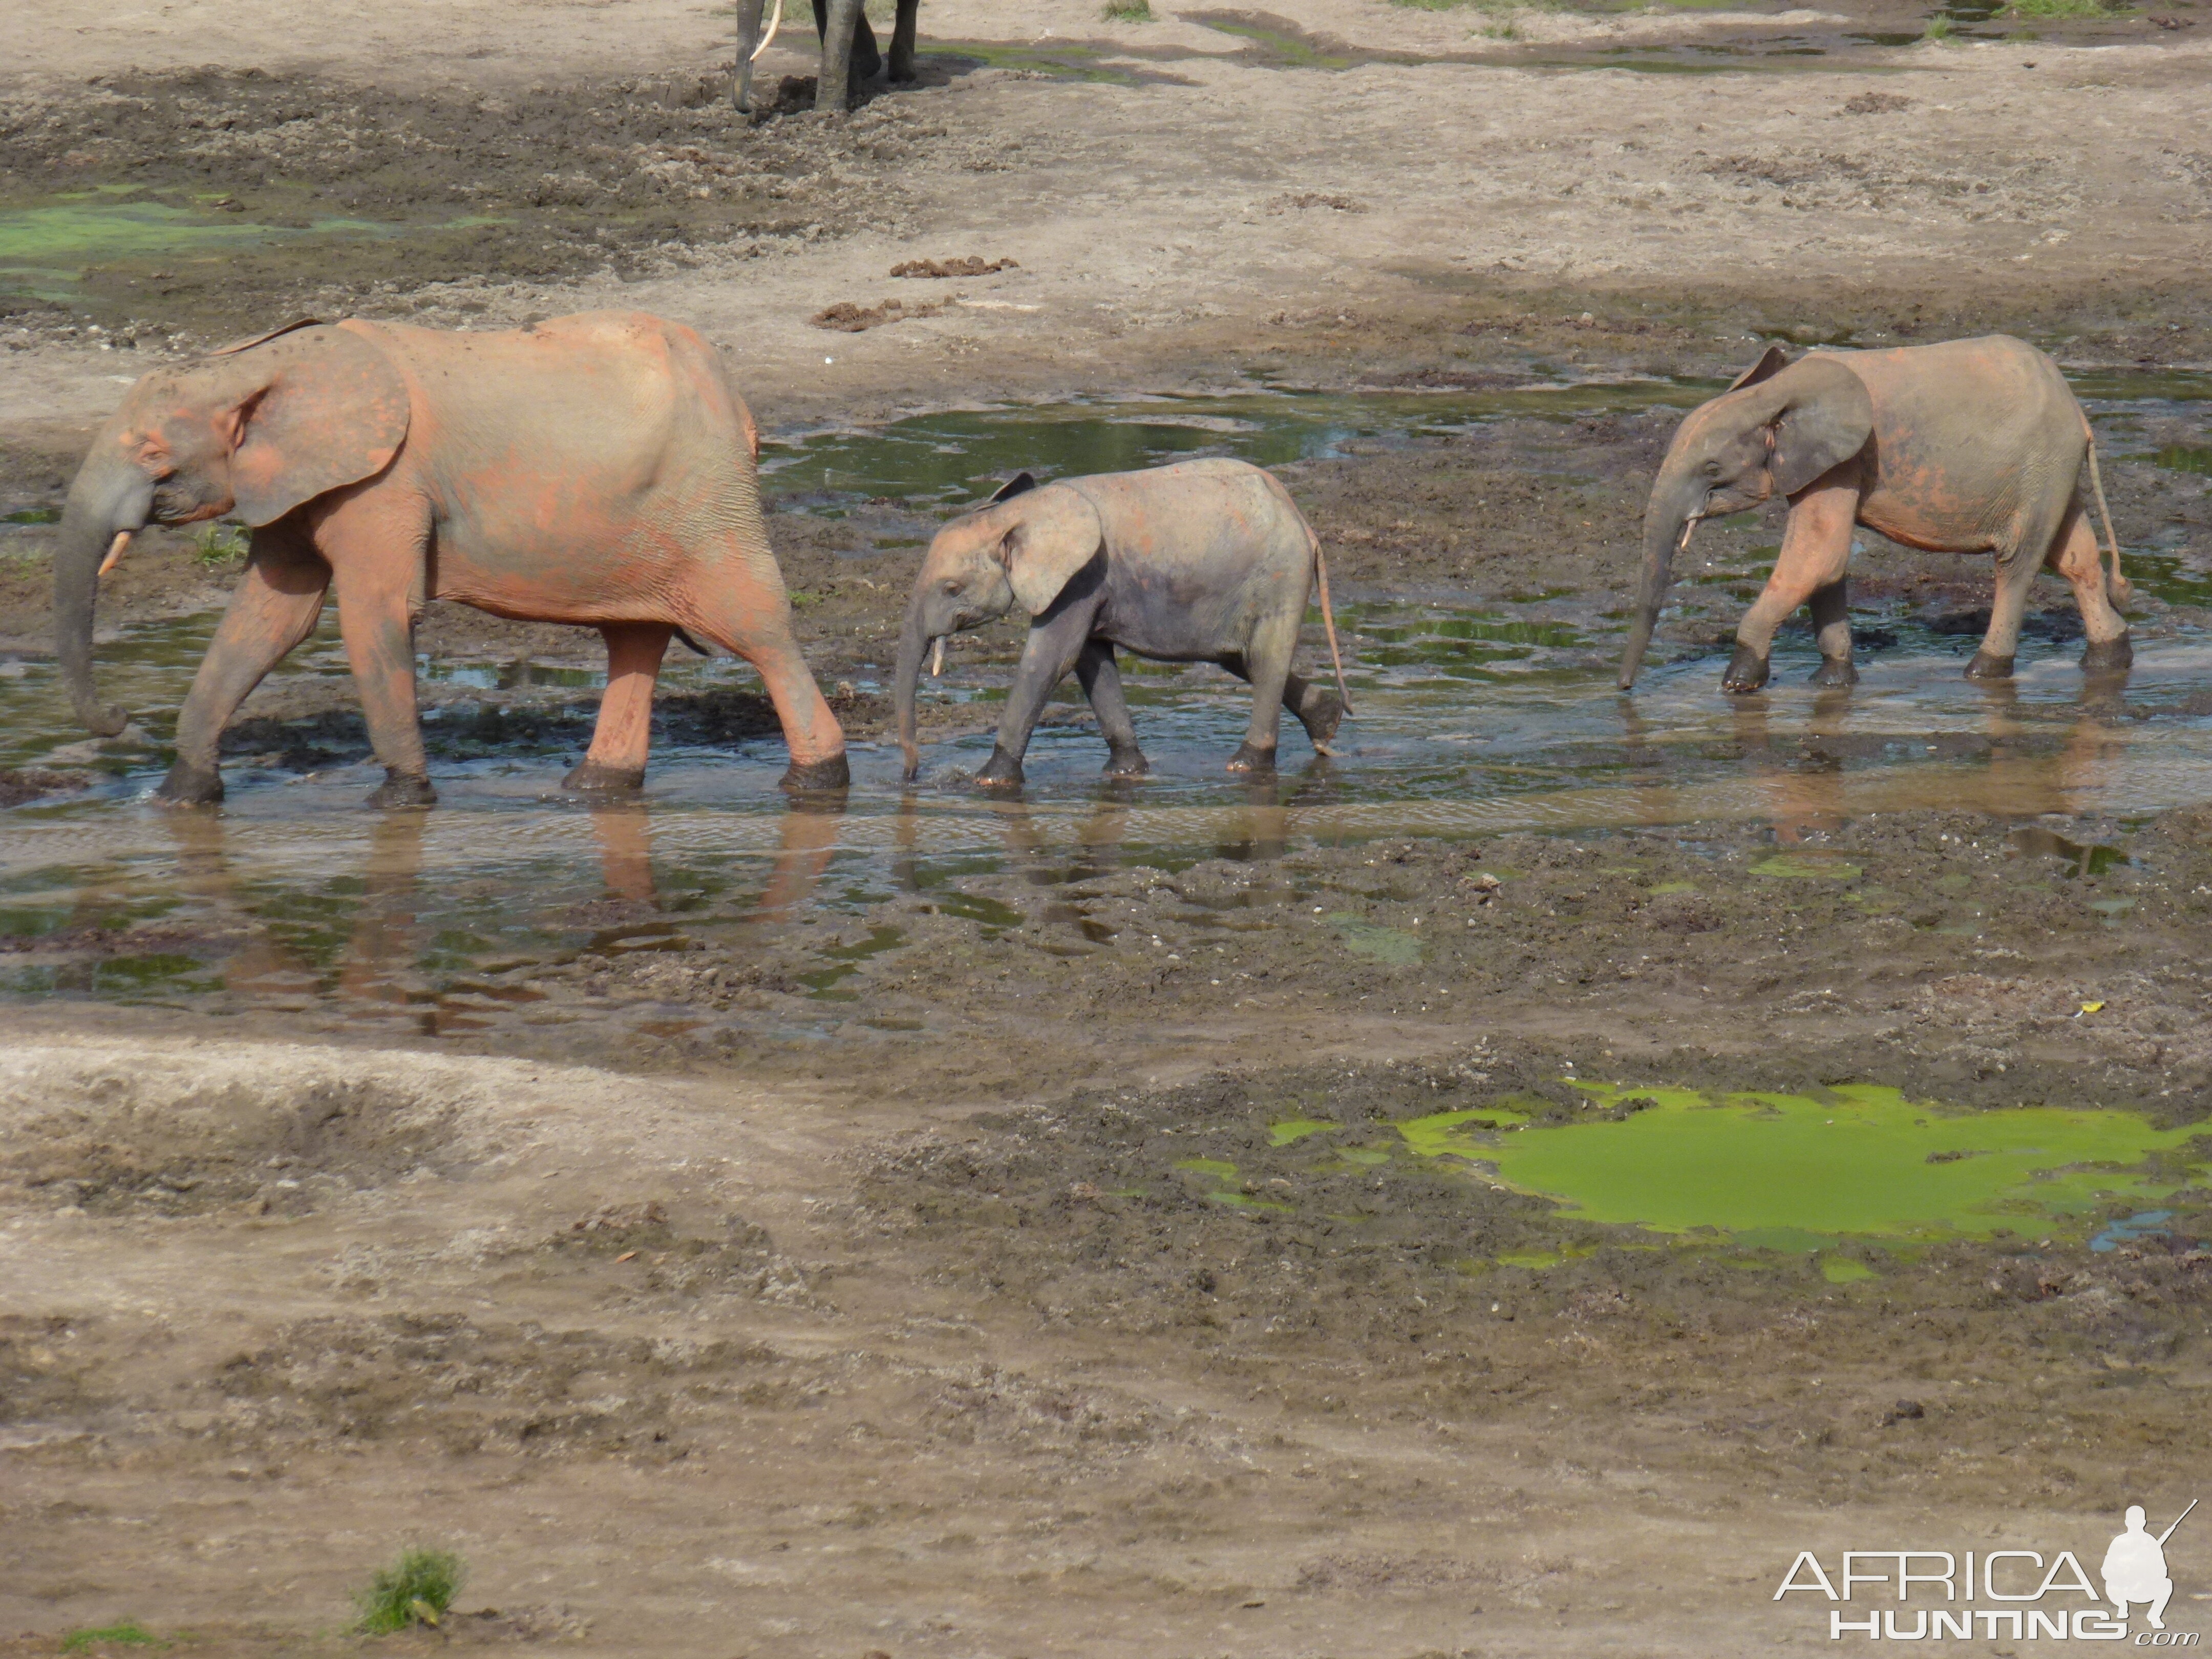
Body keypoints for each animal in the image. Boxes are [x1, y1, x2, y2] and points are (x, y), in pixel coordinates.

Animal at [54, 312, 845, 814]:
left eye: (153, 454)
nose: (118, 719)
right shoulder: (297, 486)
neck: (256, 362)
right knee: (636, 636)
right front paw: (178, 799)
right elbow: (270, 618)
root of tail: (738, 400)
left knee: (758, 627)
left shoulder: (385, 483)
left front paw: (400, 801)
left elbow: (374, 613)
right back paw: (590, 790)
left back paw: (820, 783)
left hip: (710, 500)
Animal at [894, 455, 1345, 792]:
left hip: (1280, 577)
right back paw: (1327, 723)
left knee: (1265, 659)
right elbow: (1090, 661)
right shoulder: (1085, 586)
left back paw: (1246, 766)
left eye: (952, 589)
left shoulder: (1082, 577)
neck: (1020, 513)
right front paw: (1126, 772)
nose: (911, 776)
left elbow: (1050, 661)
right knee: (1241, 657)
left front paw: (987, 781)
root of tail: (1304, 525)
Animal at [1619, 338, 2132, 694]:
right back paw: (2112, 658)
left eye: (1711, 469)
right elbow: (1826, 568)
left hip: (2040, 466)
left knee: (2017, 562)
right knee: (2074, 557)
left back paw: (1982, 672)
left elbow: (1816, 559)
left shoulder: (1845, 459)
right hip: (2051, 470)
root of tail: (2078, 412)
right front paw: (1832, 683)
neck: (1775, 394)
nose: (1623, 690)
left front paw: (1738, 684)